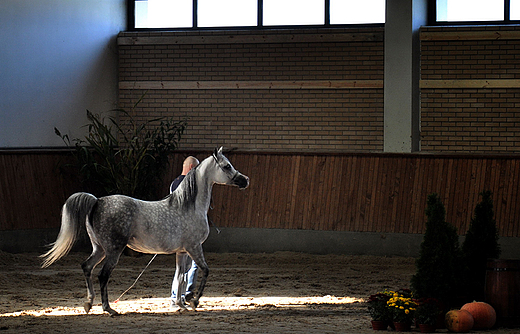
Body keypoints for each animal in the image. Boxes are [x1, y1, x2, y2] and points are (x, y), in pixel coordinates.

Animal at [41, 147, 249, 316]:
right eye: (226, 166)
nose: (245, 180)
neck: (188, 206)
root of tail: (97, 201)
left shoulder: (182, 252)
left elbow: (180, 277)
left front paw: (181, 305)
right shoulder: (194, 247)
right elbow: (205, 270)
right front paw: (194, 302)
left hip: (99, 249)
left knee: (86, 267)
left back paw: (88, 303)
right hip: (113, 251)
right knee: (102, 276)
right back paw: (109, 309)